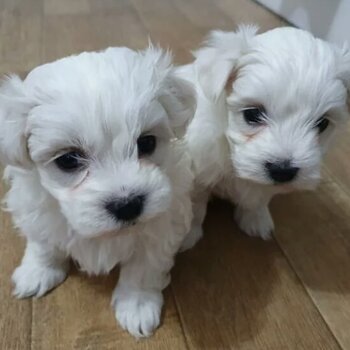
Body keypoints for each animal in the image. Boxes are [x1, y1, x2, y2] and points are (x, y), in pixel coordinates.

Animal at [0, 45, 196, 336]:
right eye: (68, 160)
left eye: (147, 142)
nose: (127, 205)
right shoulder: (37, 211)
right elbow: (43, 243)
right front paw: (38, 272)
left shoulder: (161, 227)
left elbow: (144, 267)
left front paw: (137, 305)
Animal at [179, 26, 348, 247]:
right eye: (252, 114)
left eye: (322, 124)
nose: (282, 170)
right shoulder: (200, 169)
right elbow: (196, 205)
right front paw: (187, 236)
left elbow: (260, 197)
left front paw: (256, 220)